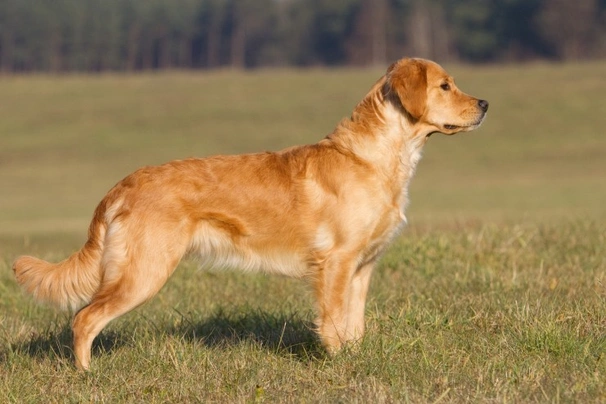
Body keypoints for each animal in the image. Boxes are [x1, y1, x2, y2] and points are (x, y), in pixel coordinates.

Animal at [13, 56, 490, 370]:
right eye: (445, 86)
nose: (485, 104)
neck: (374, 157)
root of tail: (121, 185)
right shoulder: (336, 262)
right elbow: (334, 324)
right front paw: (338, 366)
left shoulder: (361, 266)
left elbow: (355, 325)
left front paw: (355, 360)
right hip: (143, 272)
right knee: (84, 318)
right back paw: (87, 375)